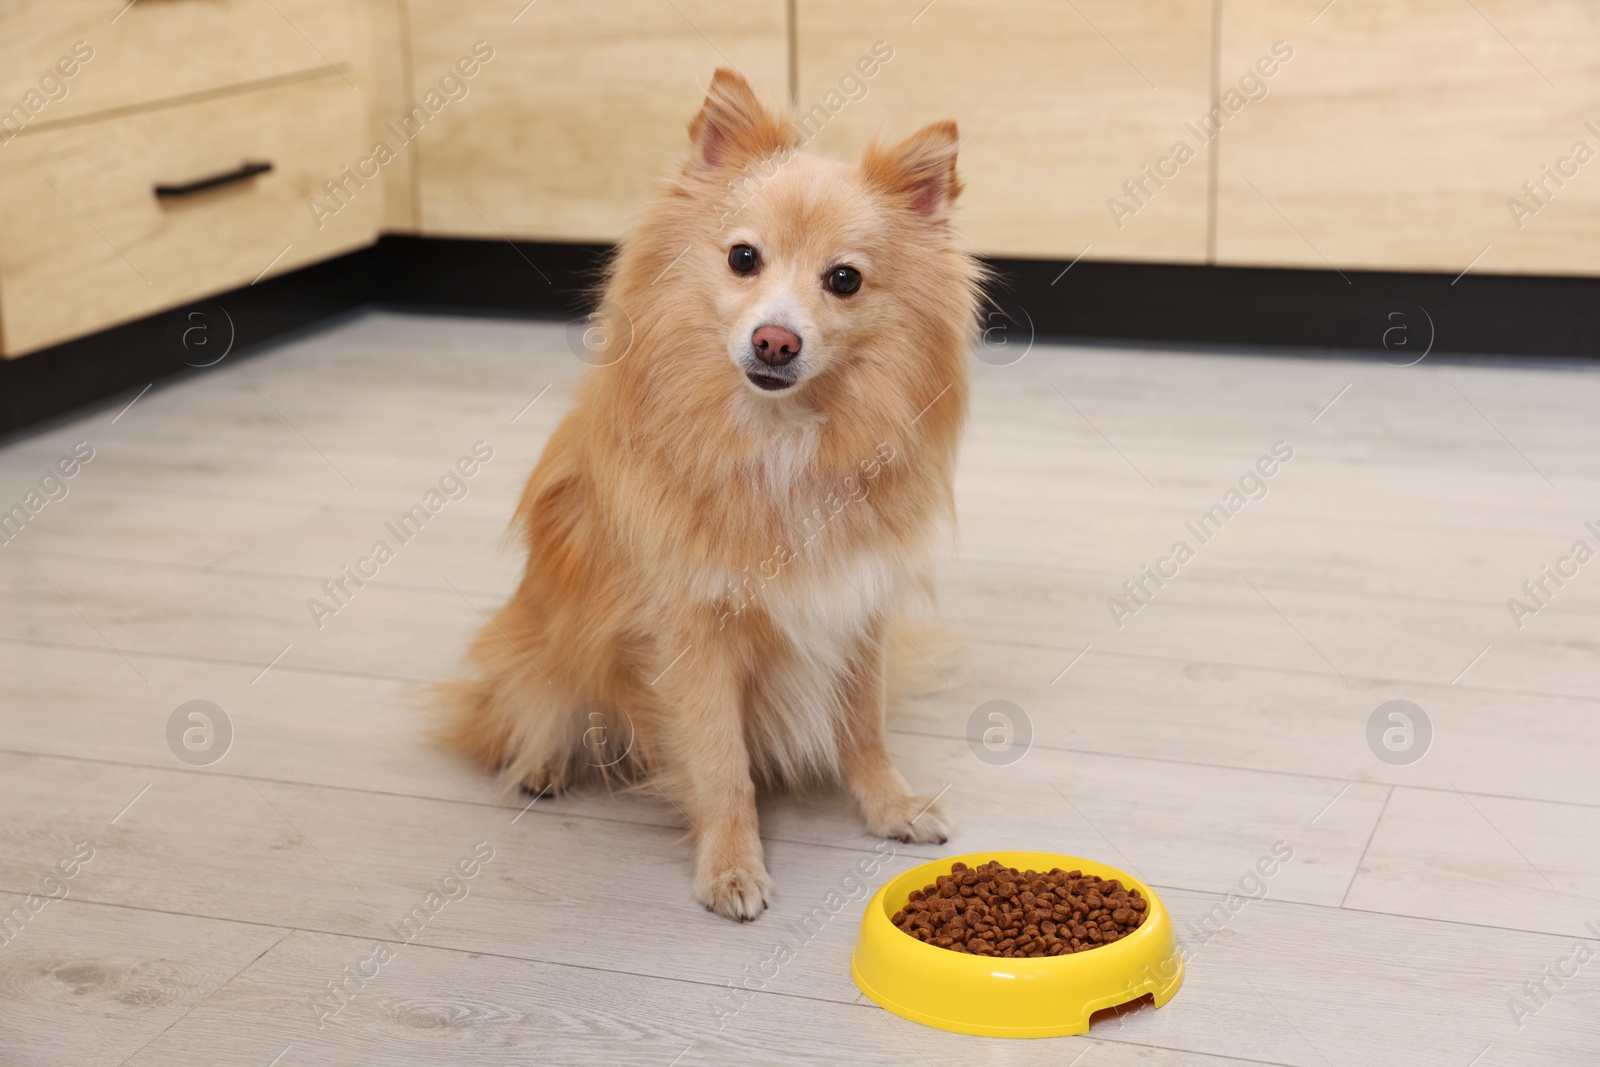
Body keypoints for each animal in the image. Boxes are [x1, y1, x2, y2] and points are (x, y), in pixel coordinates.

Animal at [441, 66, 985, 921]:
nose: (775, 339)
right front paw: (730, 866)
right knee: (532, 705)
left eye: (844, 279)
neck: (780, 437)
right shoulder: (696, 632)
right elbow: (721, 760)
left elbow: (864, 726)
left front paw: (889, 805)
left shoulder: (857, 605)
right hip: (537, 643)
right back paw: (540, 764)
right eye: (742, 258)